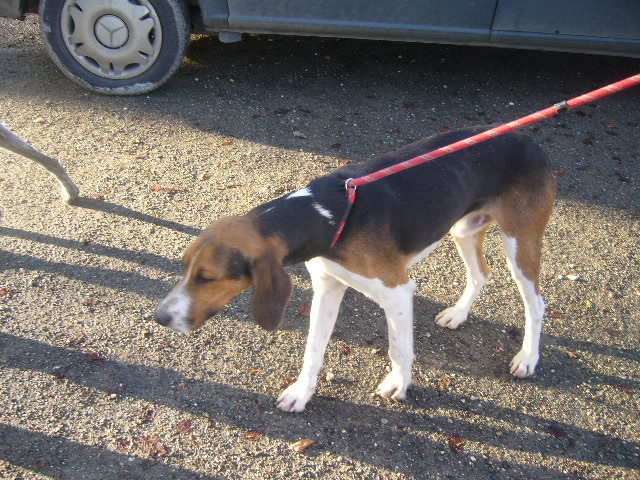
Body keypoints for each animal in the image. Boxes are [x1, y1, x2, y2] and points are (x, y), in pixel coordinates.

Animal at [154, 126, 556, 412]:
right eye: (184, 267)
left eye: (208, 278)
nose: (159, 318)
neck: (324, 215)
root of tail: (525, 137)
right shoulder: (327, 286)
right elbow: (313, 349)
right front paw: (302, 392)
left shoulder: (397, 292)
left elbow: (398, 349)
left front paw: (399, 384)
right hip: (464, 229)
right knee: (480, 274)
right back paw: (458, 314)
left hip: (520, 244)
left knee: (536, 303)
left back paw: (527, 358)